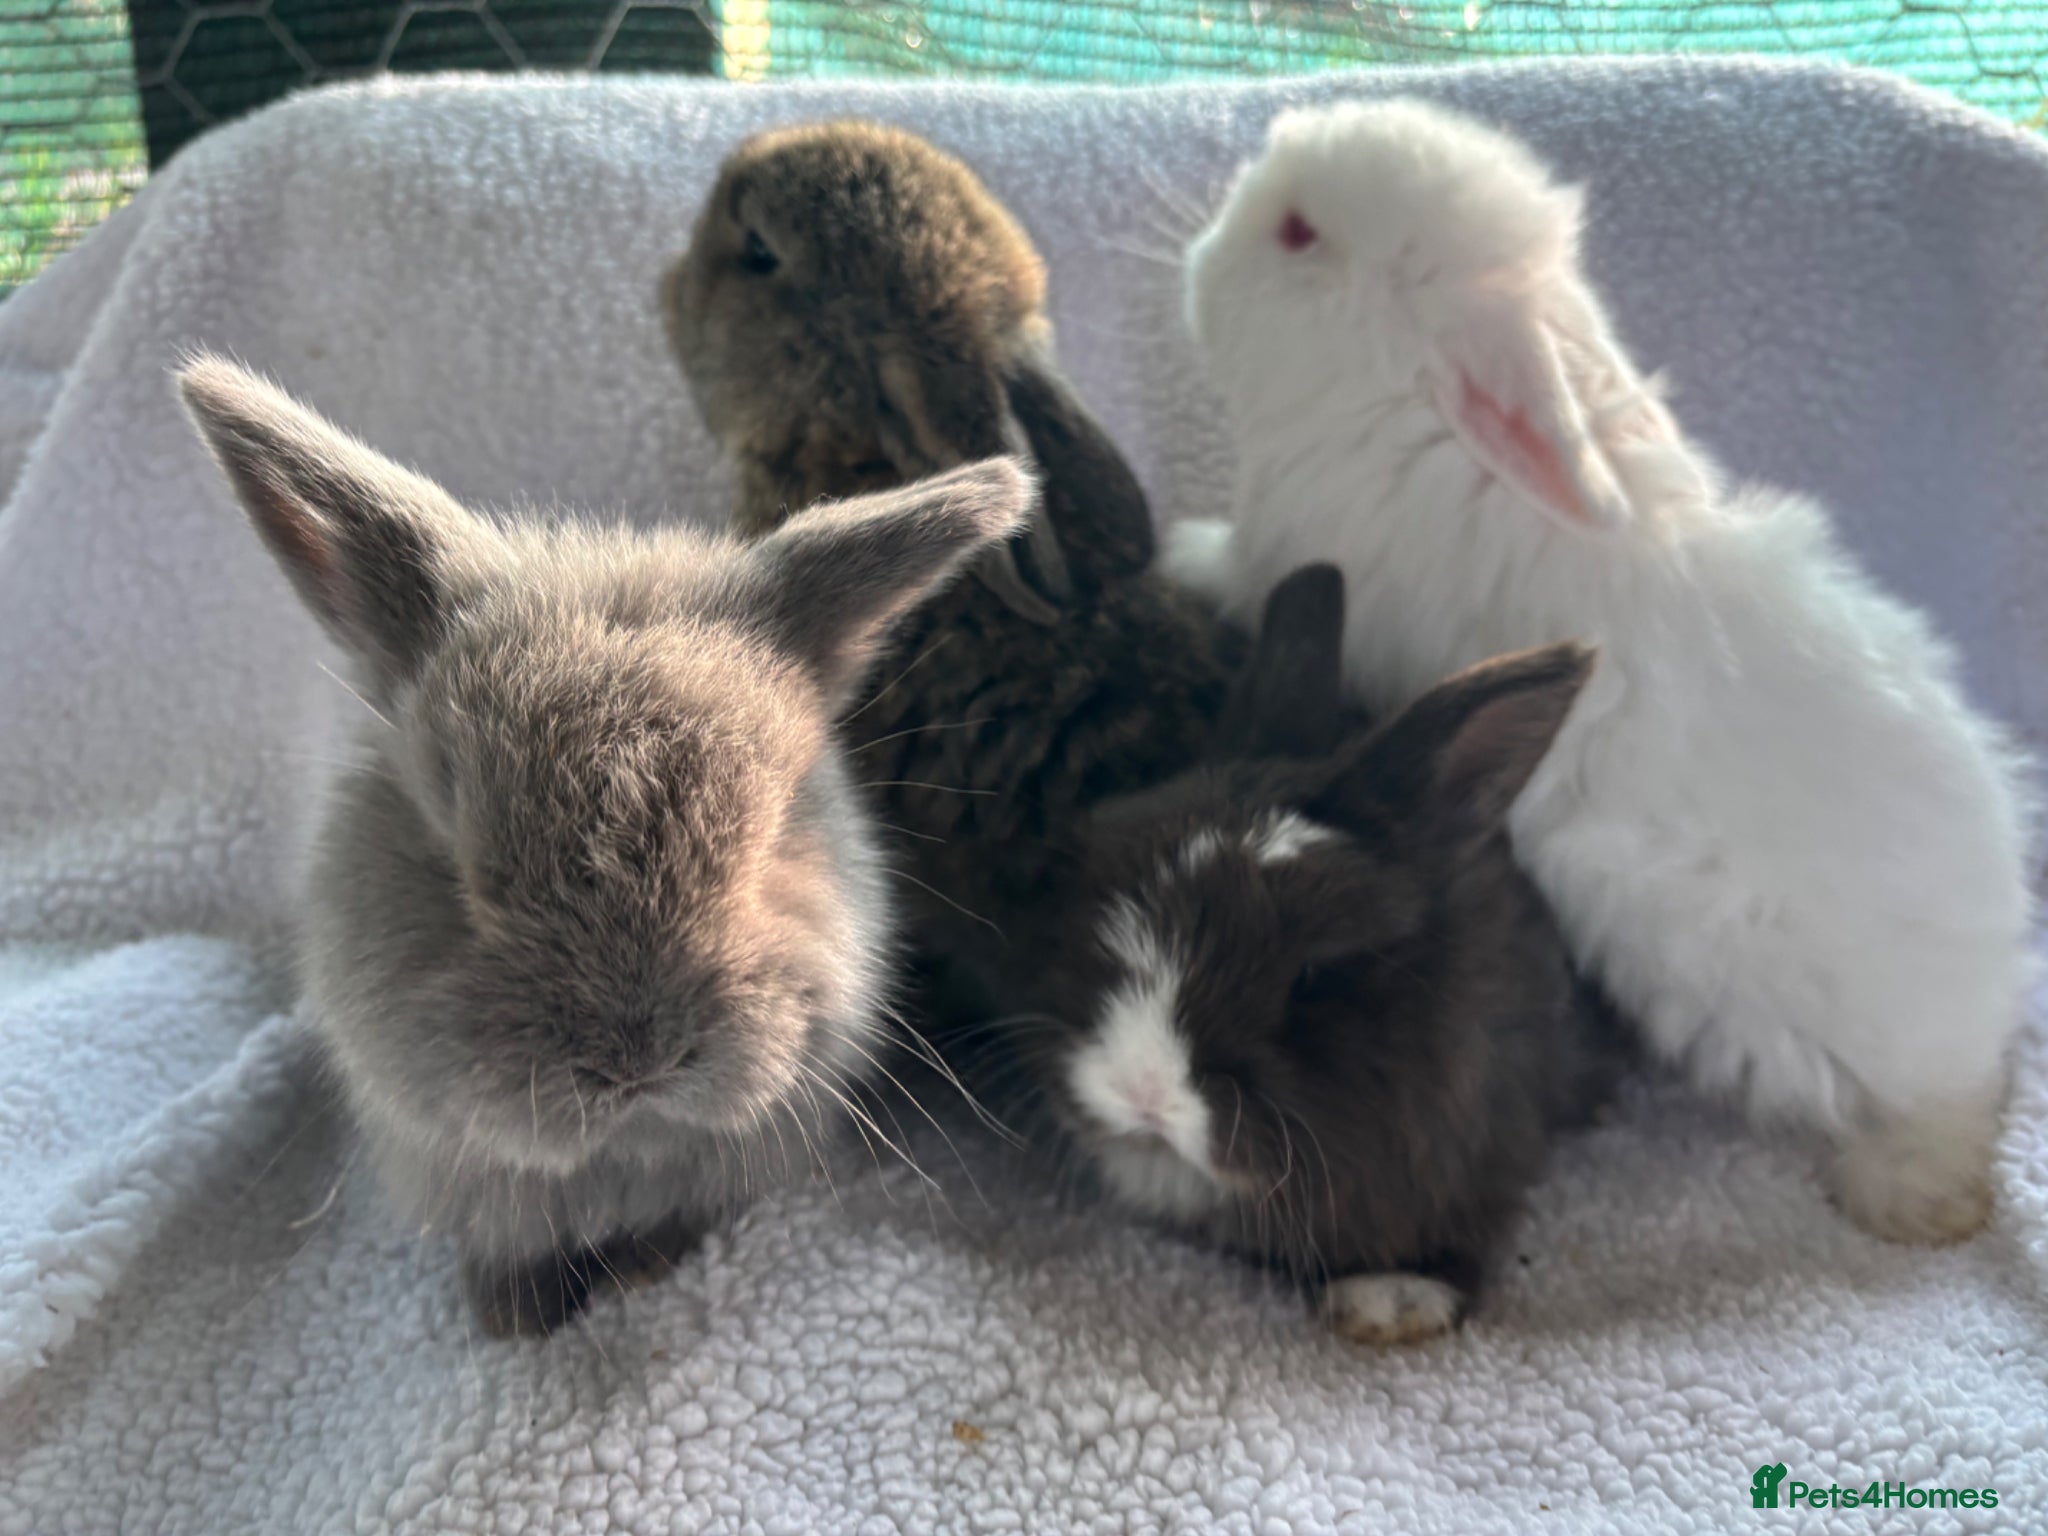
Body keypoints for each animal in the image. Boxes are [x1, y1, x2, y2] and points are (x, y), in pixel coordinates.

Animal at [176, 354, 1036, 1336]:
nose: (638, 1063)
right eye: (453, 859)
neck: (620, 1158)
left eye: (776, 832)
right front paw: (513, 1322)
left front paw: (640, 1280)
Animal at [1164, 96, 2036, 1245]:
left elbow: (1224, 565)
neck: (1407, 402)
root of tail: (1984, 987)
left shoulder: (1278, 557)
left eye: (1300, 232)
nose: (1198, 257)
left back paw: (1904, 1194)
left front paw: (1173, 548)